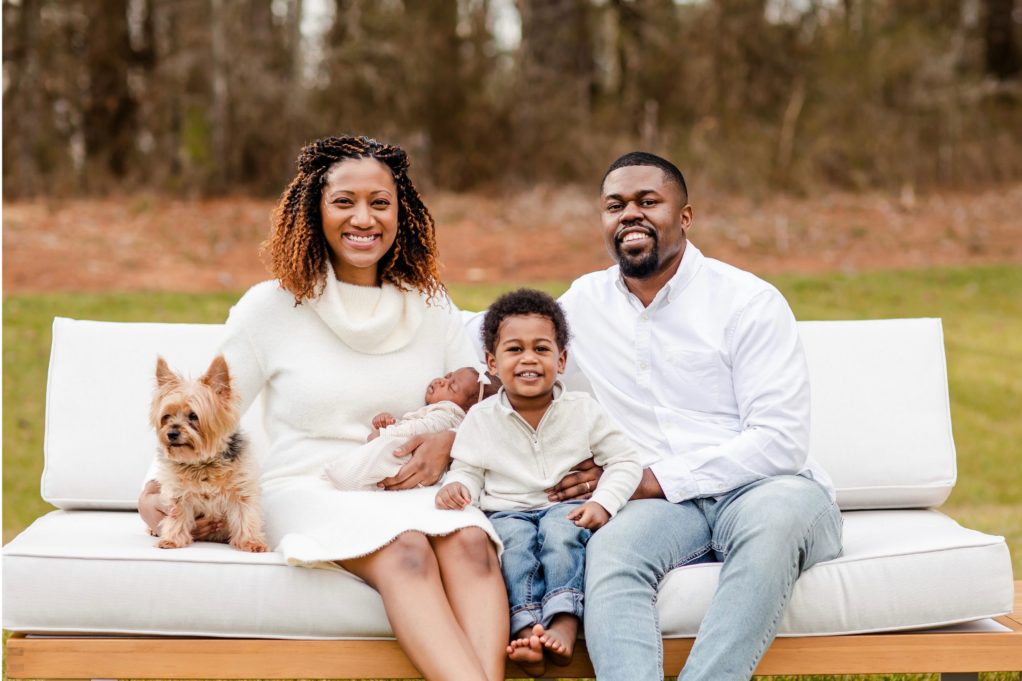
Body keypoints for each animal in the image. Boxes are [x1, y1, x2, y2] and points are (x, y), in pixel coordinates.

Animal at [149, 351, 269, 548]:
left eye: (193, 416)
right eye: (166, 416)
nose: (172, 433)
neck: (203, 463)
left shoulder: (241, 492)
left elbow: (245, 516)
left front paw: (251, 543)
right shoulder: (178, 495)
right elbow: (177, 517)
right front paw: (172, 540)